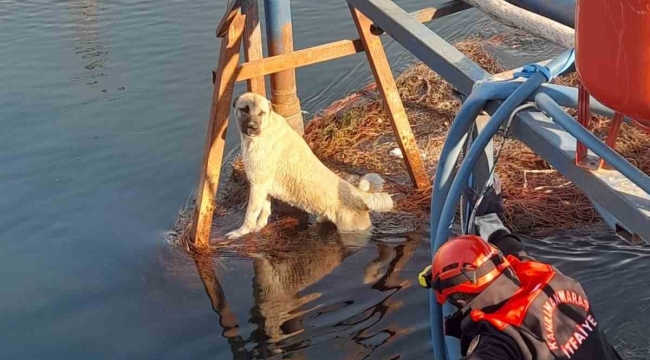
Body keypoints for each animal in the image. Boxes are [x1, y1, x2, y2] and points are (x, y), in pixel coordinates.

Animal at [225, 93, 392, 239]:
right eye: (244, 109)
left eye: (261, 113)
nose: (252, 127)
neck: (266, 129)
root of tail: (360, 196)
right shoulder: (264, 187)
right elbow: (264, 211)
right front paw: (260, 226)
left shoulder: (257, 186)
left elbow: (250, 215)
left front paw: (240, 233)